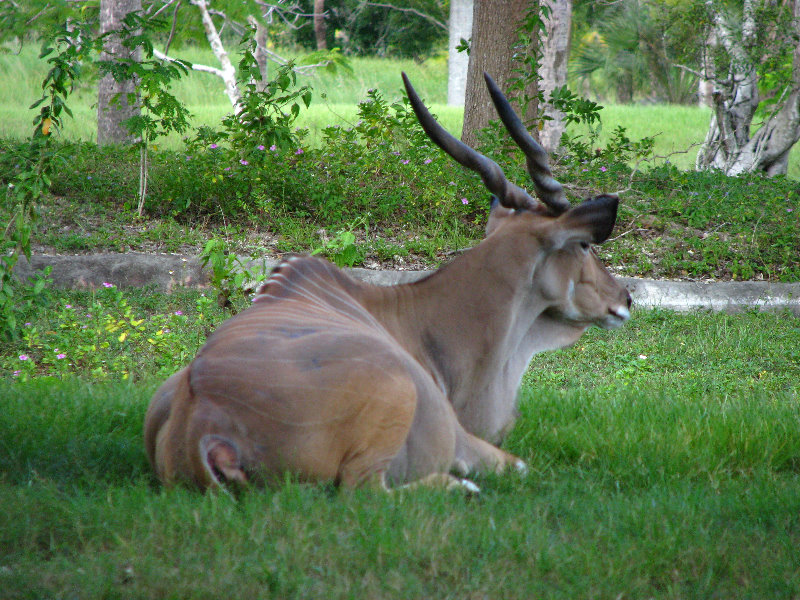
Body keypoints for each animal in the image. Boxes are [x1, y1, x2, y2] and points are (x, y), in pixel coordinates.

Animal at [144, 72, 632, 492]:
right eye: (584, 246)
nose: (624, 298)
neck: (417, 317)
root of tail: (205, 422)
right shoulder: (466, 441)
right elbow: (522, 466)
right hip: (397, 397)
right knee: (366, 490)